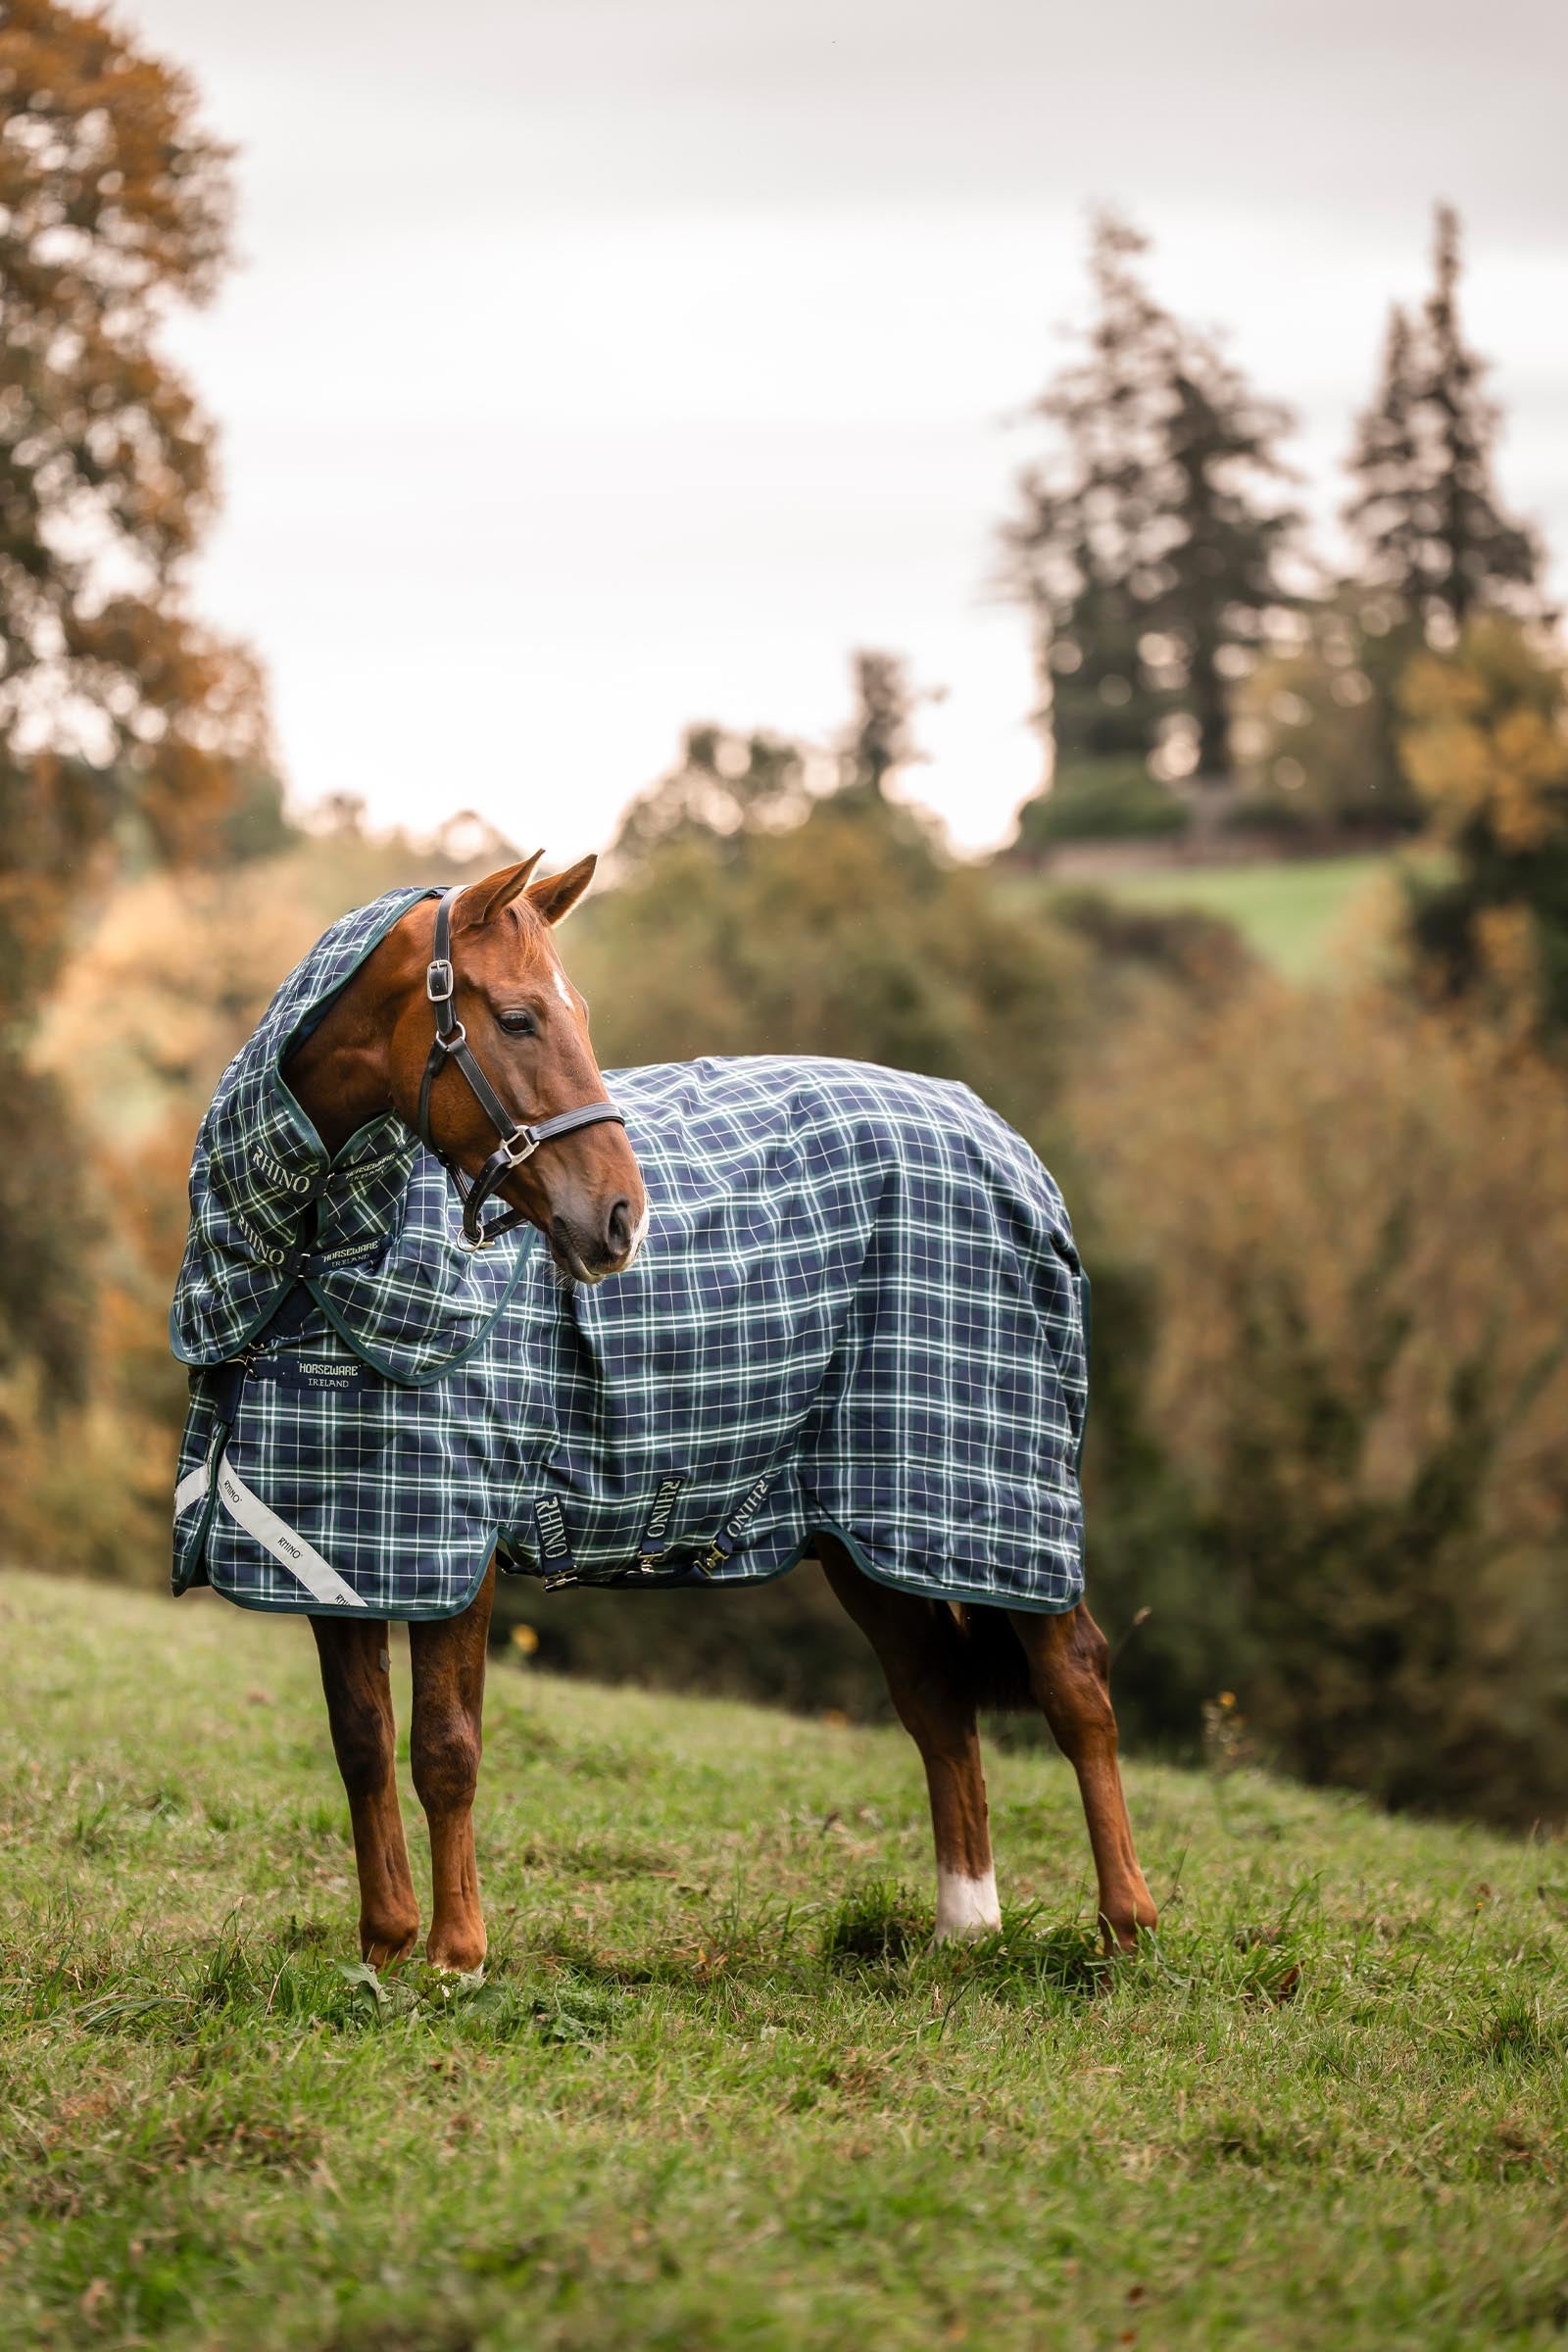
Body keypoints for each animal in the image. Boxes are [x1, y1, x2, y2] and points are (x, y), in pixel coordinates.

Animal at [221, 853, 1156, 1972]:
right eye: (521, 1019)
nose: (622, 1217)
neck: (315, 1265)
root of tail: (1006, 1144)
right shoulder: (333, 1540)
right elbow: (360, 1741)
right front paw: (384, 1949)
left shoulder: (462, 1539)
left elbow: (445, 1746)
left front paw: (456, 1958)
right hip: (863, 1524)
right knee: (936, 1699)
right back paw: (962, 1930)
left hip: (995, 1492)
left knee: (1076, 1682)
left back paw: (1125, 1925)